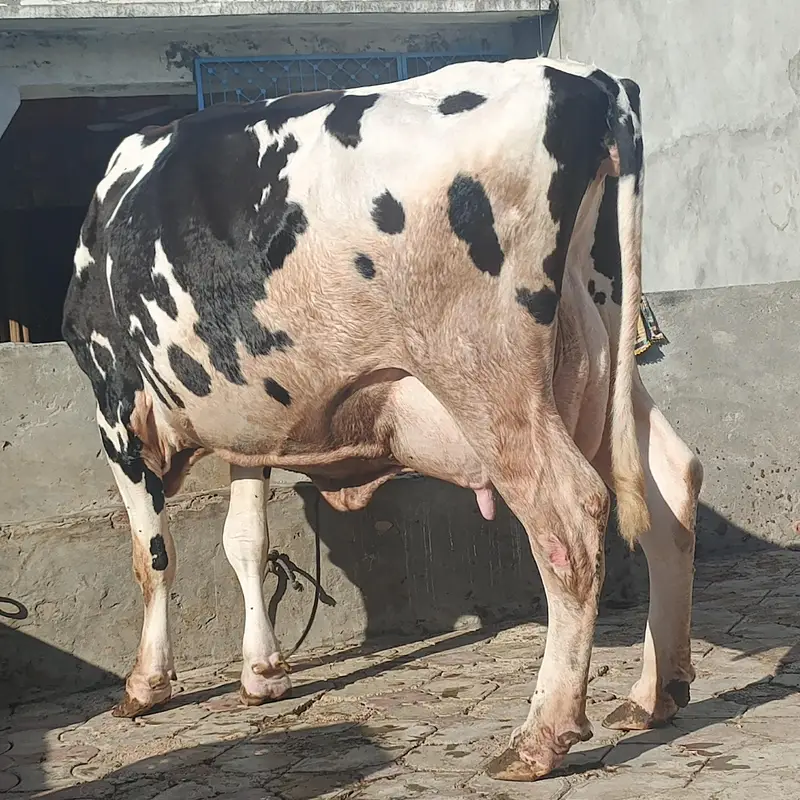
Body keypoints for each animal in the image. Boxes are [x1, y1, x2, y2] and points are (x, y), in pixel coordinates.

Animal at [61, 57, 702, 781]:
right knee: (670, 482)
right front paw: (263, 673)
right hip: (605, 350)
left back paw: (539, 736)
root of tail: (586, 79)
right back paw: (655, 693)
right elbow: (245, 541)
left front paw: (146, 684)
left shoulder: (113, 395)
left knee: (567, 516)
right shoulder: (252, 422)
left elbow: (153, 556)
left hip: (487, 374)